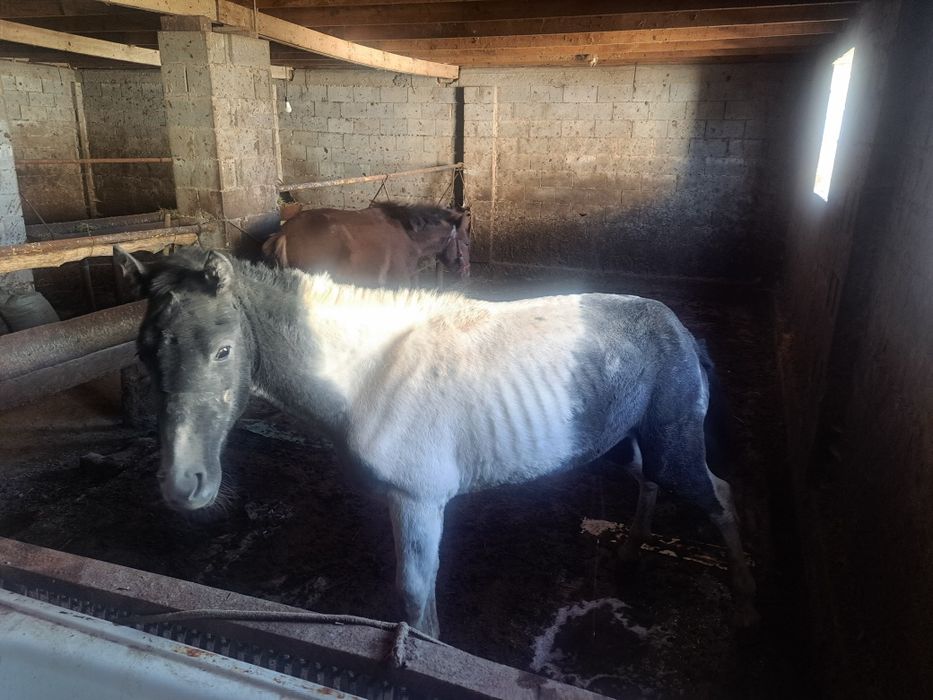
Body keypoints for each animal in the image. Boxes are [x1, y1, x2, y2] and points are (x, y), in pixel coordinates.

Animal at [114, 245, 758, 637]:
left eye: (223, 350)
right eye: (144, 352)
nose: (184, 485)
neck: (370, 372)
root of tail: (679, 329)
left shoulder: (419, 502)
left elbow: (416, 600)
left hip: (674, 444)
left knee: (718, 496)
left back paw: (745, 596)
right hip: (631, 441)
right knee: (648, 480)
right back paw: (631, 553)